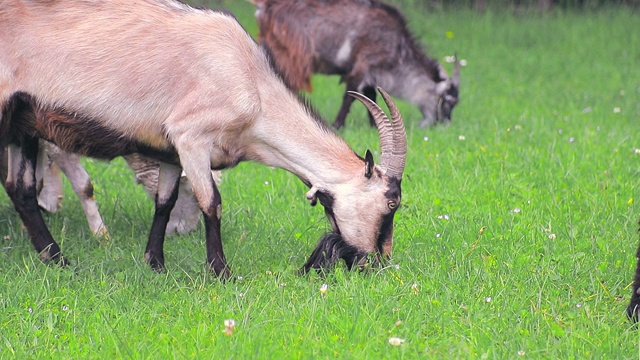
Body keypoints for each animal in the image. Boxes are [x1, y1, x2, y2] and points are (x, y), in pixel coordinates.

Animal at [0, 0, 408, 278]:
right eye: (392, 203)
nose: (380, 260)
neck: (250, 79)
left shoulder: (166, 149)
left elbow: (164, 202)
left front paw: (155, 263)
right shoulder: (190, 137)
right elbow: (212, 202)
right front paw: (220, 272)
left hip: (24, 123)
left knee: (21, 187)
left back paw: (57, 258)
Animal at [251, 0, 460, 129]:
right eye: (449, 101)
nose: (444, 125)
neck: (398, 47)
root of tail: (265, 6)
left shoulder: (373, 73)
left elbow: (371, 97)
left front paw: (373, 125)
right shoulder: (362, 64)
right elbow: (350, 96)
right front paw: (337, 125)